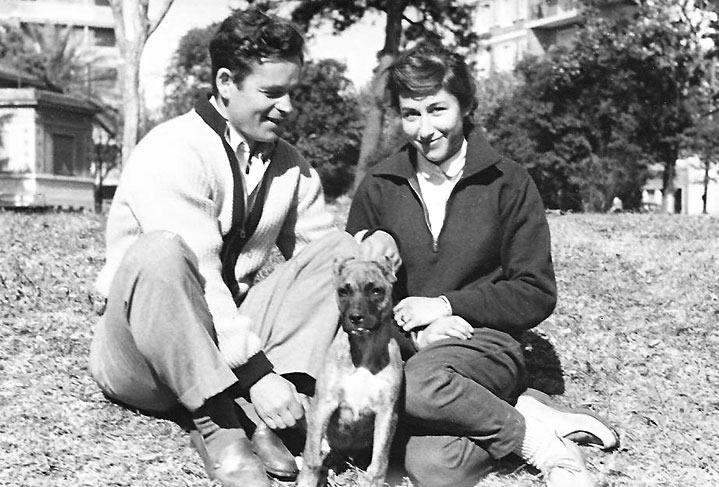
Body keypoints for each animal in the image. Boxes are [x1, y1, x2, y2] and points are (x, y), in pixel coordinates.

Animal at [296, 255, 402, 487]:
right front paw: (307, 480)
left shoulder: (387, 413)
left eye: (376, 291)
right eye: (343, 291)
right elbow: (311, 459)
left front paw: (373, 481)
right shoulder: (323, 405)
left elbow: (379, 463)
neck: (363, 349)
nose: (355, 317)